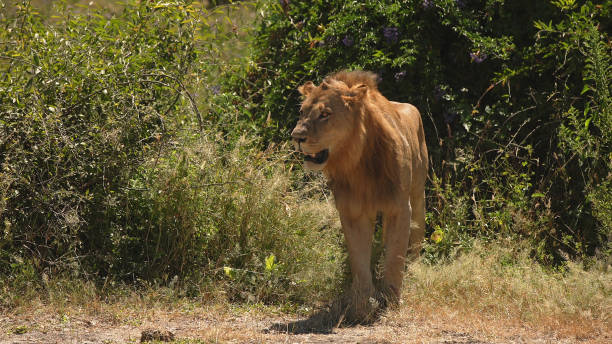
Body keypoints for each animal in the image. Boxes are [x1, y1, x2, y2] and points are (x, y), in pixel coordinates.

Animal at [292, 70, 428, 320]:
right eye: (302, 112)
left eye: (325, 114)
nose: (296, 137)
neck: (357, 162)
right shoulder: (353, 211)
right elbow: (359, 260)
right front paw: (363, 305)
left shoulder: (399, 208)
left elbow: (395, 256)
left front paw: (391, 300)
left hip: (418, 194)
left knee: (415, 238)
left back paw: (413, 270)